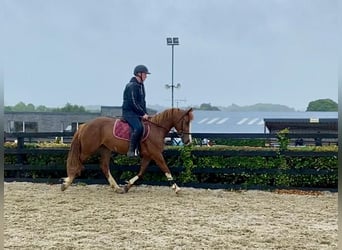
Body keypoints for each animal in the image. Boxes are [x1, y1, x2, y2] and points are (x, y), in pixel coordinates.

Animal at [60, 107, 192, 193]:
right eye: (186, 121)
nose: (188, 141)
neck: (156, 129)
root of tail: (84, 125)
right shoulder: (156, 154)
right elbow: (166, 169)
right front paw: (176, 187)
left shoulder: (148, 156)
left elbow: (141, 172)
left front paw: (127, 186)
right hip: (87, 150)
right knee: (77, 163)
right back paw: (66, 183)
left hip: (105, 149)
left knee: (104, 166)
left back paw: (117, 187)